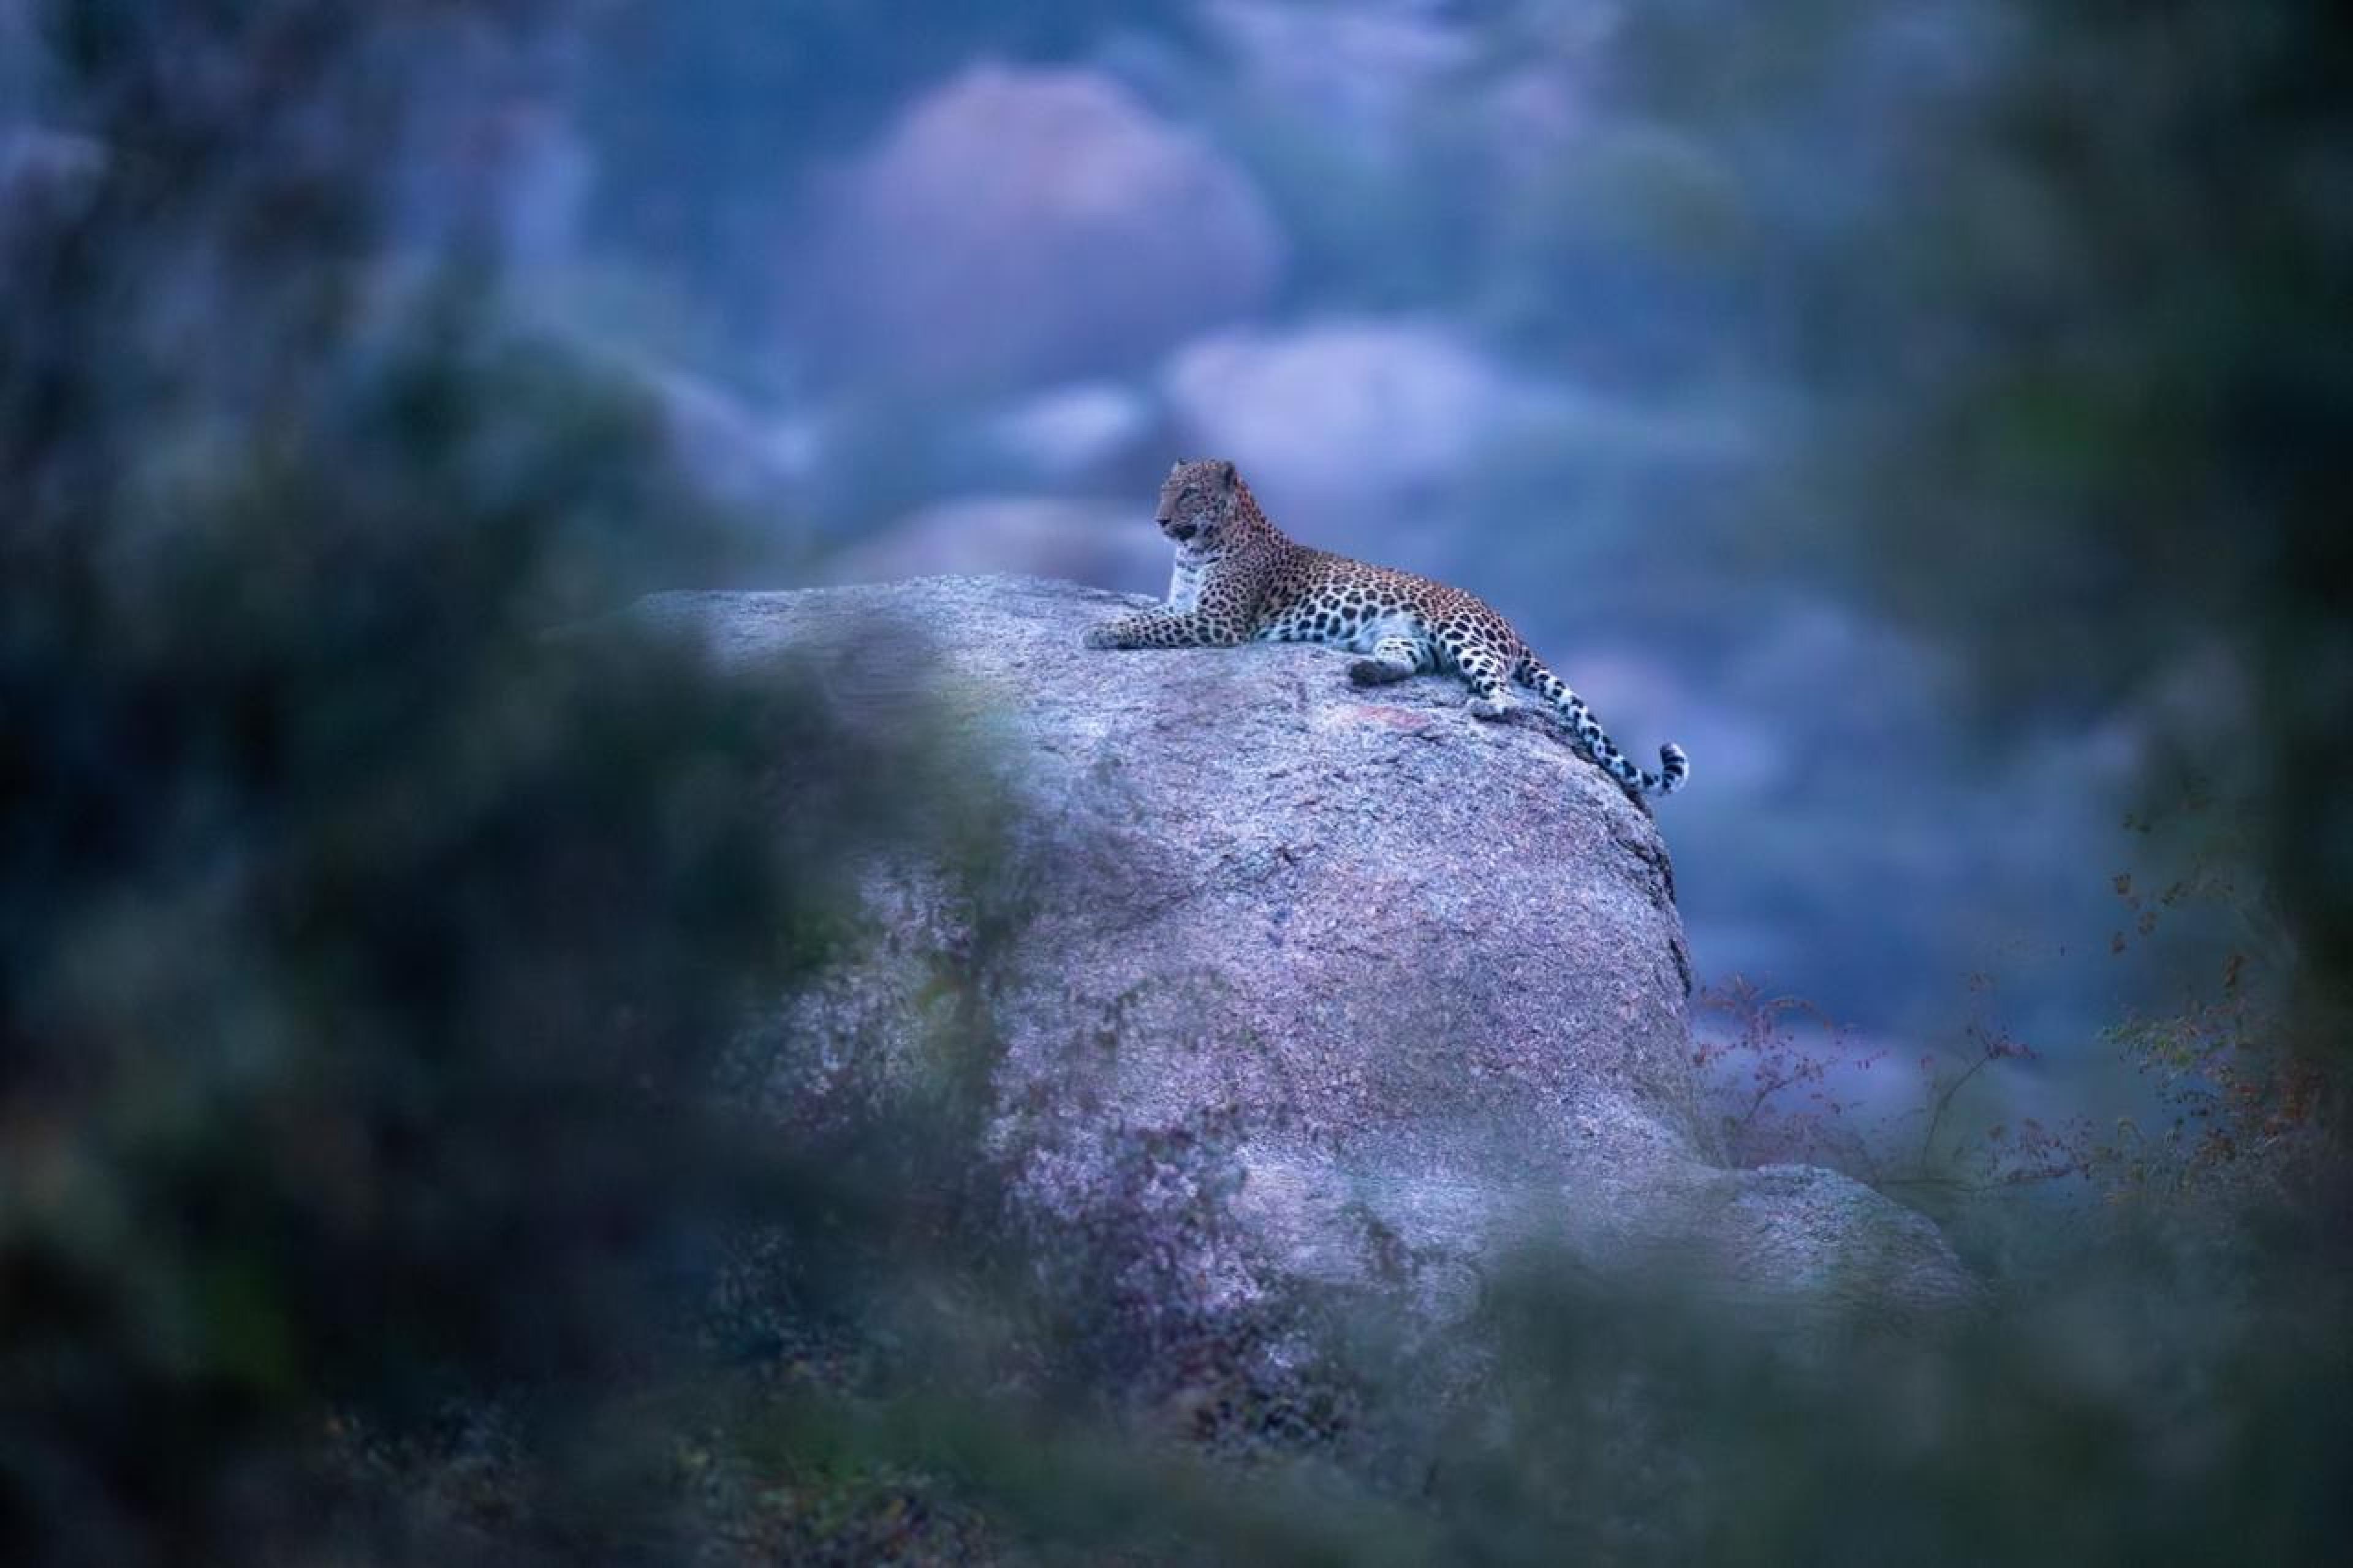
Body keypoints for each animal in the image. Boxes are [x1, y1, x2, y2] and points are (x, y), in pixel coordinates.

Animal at [1083, 458, 1689, 798]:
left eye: (1189, 493)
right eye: (1165, 490)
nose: (1159, 519)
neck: (1195, 548)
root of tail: (1511, 626)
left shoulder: (1217, 620)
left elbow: (1146, 625)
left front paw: (1102, 632)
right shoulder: (1186, 607)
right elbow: (1151, 616)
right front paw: (1106, 624)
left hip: (1460, 633)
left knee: (1503, 692)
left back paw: (1481, 705)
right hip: (1406, 636)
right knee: (1408, 663)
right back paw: (1365, 672)